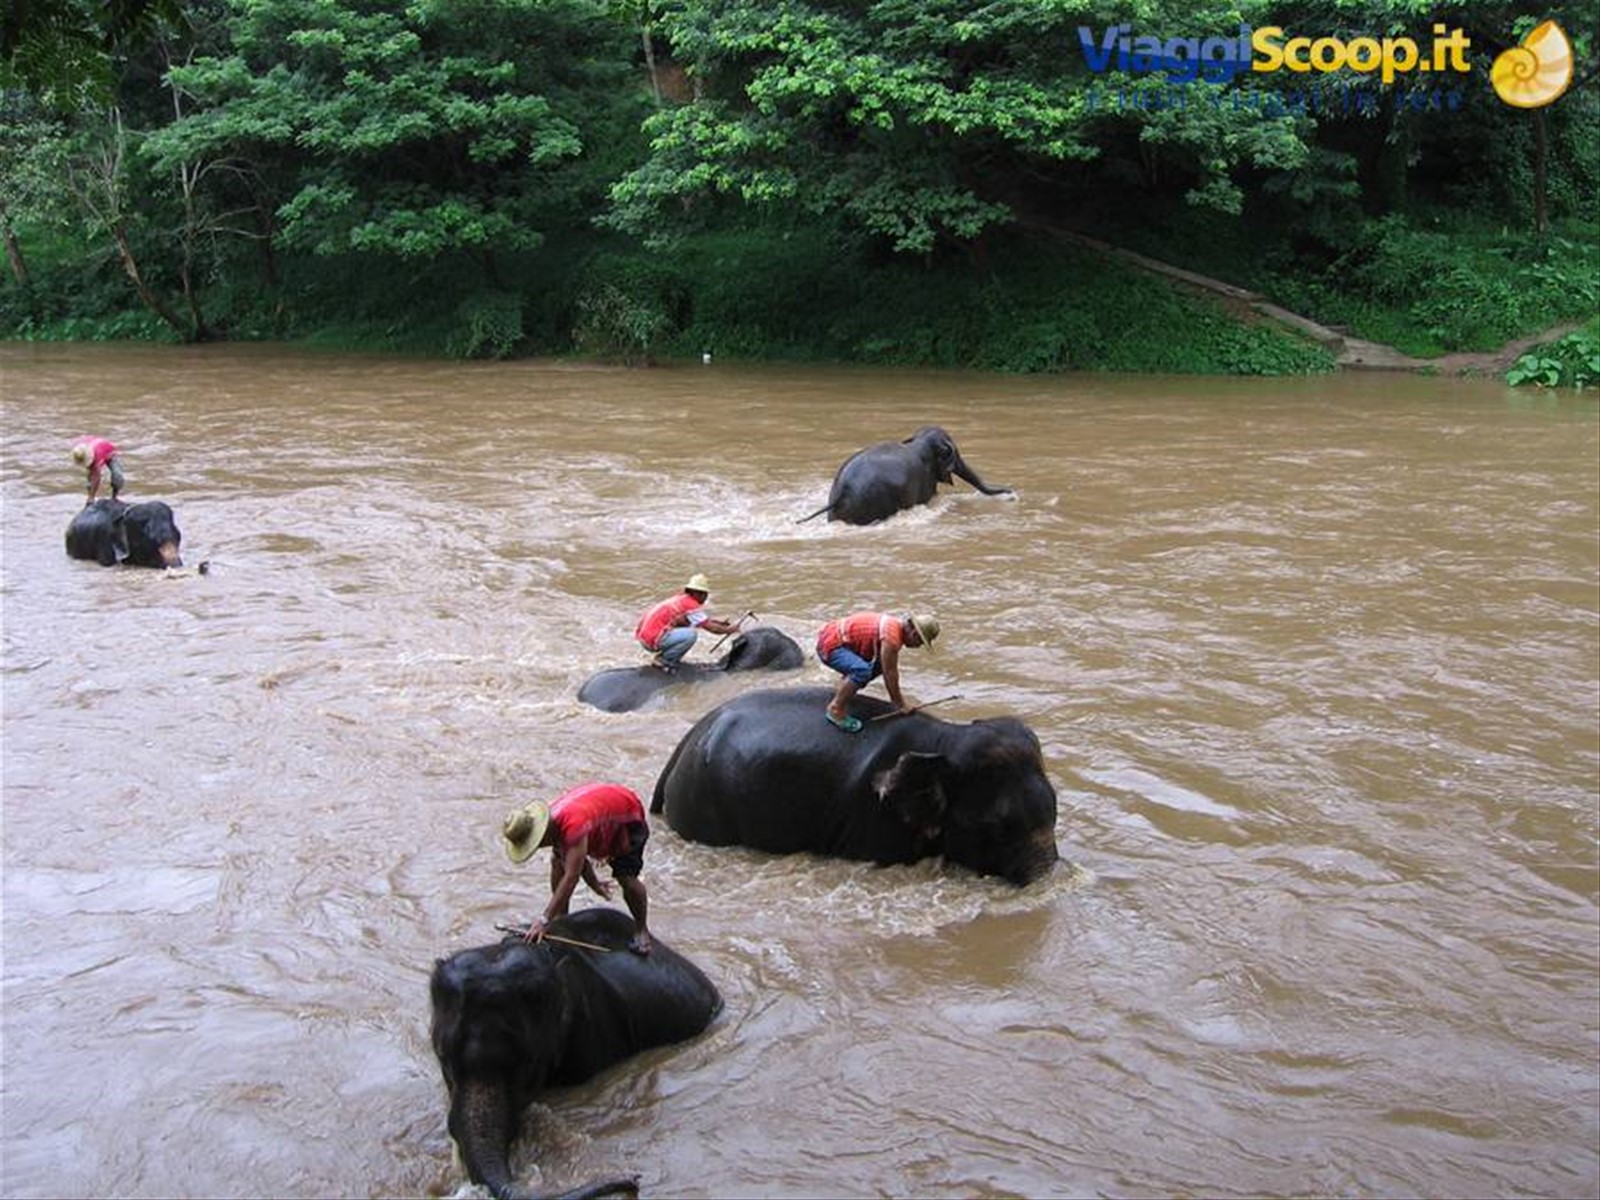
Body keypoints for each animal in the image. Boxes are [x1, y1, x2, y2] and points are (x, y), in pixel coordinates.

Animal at [650, 686, 1060, 885]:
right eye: (996, 827)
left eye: (1055, 812)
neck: (946, 739)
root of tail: (688, 740)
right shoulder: (876, 821)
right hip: (703, 810)